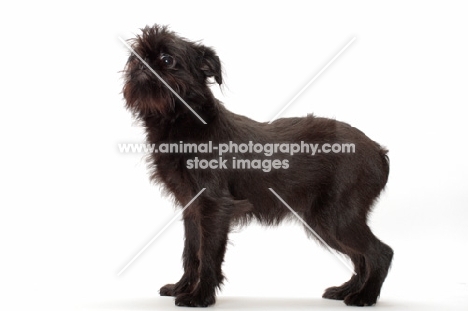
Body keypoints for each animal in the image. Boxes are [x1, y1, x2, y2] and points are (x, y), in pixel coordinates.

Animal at [122, 24, 394, 308]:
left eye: (167, 60)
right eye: (133, 57)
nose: (141, 64)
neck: (185, 122)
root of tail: (378, 150)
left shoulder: (214, 207)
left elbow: (207, 255)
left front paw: (200, 296)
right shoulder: (192, 209)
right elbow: (191, 251)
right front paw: (182, 287)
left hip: (335, 219)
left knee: (379, 252)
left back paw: (365, 296)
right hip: (323, 220)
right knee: (361, 257)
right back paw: (347, 290)